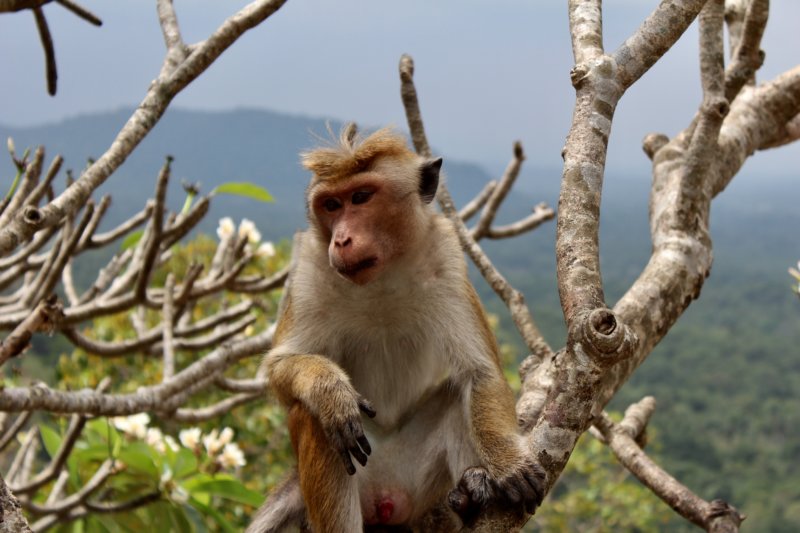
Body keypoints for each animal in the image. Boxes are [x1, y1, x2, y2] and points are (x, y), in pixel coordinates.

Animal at [247, 125, 545, 533]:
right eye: (331, 205)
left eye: (360, 197)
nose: (341, 239)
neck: (382, 275)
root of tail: (386, 497)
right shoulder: (309, 268)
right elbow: (280, 366)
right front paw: (331, 392)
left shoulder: (445, 256)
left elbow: (477, 372)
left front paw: (508, 464)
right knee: (312, 418)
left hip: (418, 480)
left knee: (458, 395)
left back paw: (470, 495)